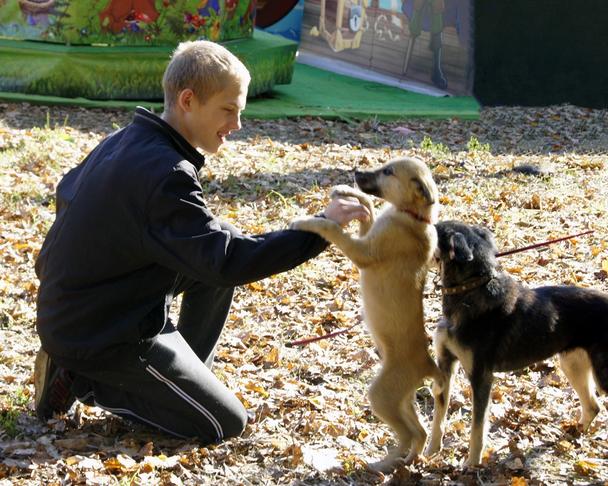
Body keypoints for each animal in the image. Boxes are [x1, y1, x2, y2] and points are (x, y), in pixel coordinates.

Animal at [290, 157, 442, 470]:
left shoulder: (364, 252)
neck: (413, 217)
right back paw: (406, 463)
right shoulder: (367, 238)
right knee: (418, 433)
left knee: (407, 434)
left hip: (381, 396)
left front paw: (309, 221)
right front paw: (348, 193)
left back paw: (381, 465)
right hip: (402, 400)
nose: (356, 172)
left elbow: (334, 230)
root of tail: (428, 364)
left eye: (388, 172)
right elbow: (369, 208)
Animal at [428, 220, 608, 464]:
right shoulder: (445, 366)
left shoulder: (481, 377)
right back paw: (574, 434)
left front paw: (471, 464)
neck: (469, 290)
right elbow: (438, 418)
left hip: (600, 374)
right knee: (592, 406)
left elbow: (477, 428)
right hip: (572, 364)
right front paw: (427, 455)